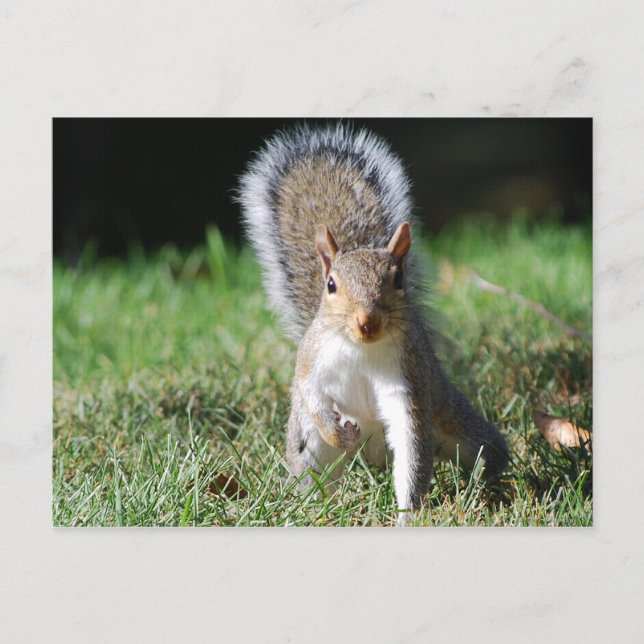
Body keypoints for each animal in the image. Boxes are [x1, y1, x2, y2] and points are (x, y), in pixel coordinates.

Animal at [238, 123, 508, 524]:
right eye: (330, 285)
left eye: (398, 280)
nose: (367, 321)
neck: (360, 351)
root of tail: (372, 455)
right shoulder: (312, 361)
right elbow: (310, 392)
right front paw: (339, 434)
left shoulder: (406, 381)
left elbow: (411, 449)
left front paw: (407, 516)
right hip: (309, 447)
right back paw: (314, 509)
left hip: (457, 422)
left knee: (485, 452)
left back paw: (493, 487)